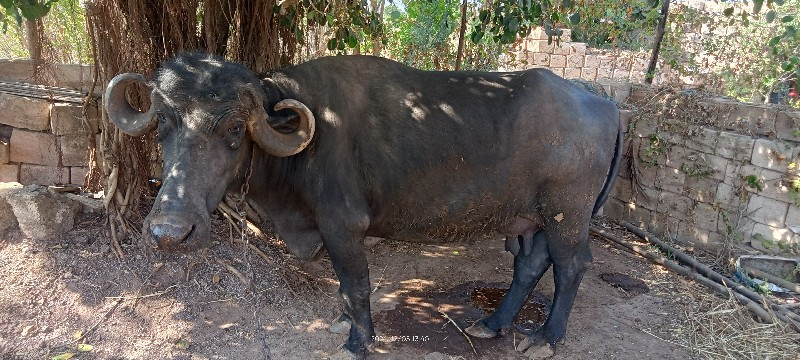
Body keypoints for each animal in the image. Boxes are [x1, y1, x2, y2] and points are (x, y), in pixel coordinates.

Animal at [103, 52, 620, 358]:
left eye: (233, 129)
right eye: (163, 123)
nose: (170, 233)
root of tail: (606, 104)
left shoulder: (342, 225)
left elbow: (355, 284)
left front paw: (358, 340)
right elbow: (342, 288)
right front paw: (342, 324)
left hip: (568, 215)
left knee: (572, 265)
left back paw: (546, 339)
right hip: (532, 219)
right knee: (530, 265)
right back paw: (492, 324)